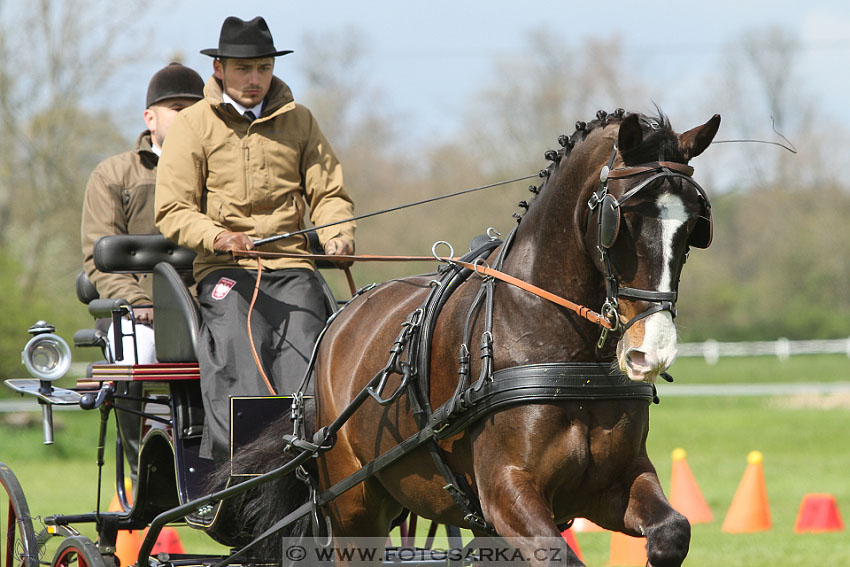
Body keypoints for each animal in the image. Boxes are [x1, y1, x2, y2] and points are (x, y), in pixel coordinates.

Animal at [312, 108, 716, 564]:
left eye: (694, 227)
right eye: (622, 222)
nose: (653, 351)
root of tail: (344, 314)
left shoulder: (614, 481)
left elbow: (673, 530)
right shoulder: (505, 489)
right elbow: (559, 554)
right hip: (352, 506)